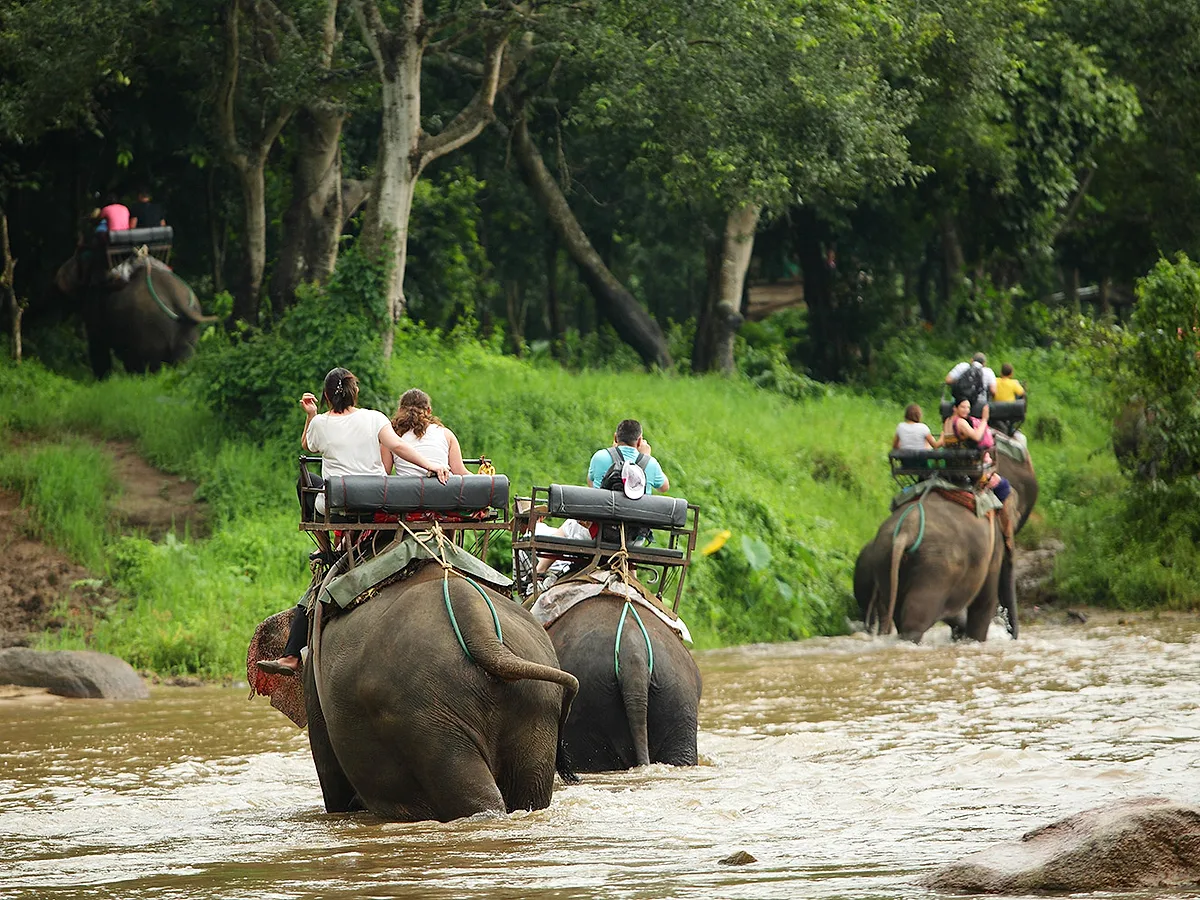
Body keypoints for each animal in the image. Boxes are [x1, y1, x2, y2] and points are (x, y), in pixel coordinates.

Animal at [53, 249, 213, 378]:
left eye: (78, 258)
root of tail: (175, 295)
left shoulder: (94, 306)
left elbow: (98, 346)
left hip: (150, 326)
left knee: (149, 363)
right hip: (188, 330)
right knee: (183, 359)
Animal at [855, 488, 1013, 643]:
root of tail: (906, 531)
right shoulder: (993, 553)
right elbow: (984, 603)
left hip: (884, 558)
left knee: (897, 612)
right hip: (934, 567)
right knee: (916, 616)